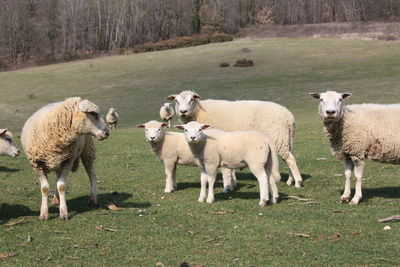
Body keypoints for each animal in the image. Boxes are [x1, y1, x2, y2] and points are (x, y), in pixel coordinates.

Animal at [166, 90, 304, 188]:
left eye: (191, 100)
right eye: (176, 101)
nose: (183, 111)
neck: (199, 112)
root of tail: (288, 116)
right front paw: (232, 181)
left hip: (277, 137)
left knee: (290, 159)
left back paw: (298, 182)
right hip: (287, 138)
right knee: (290, 156)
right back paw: (290, 180)